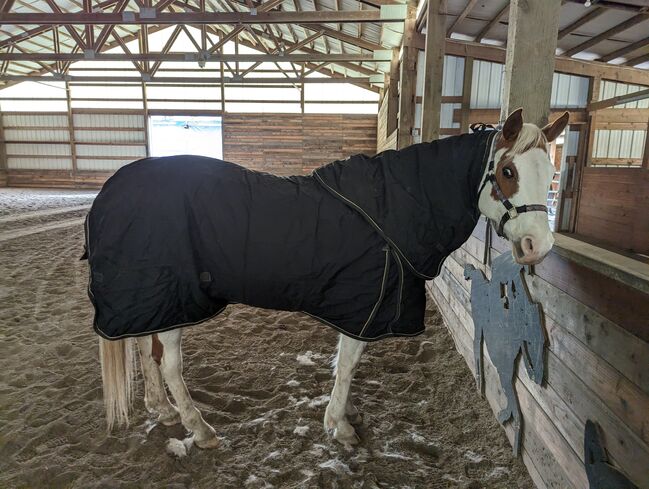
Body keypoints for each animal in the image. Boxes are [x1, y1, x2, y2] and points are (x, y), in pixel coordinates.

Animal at [87, 107, 568, 450]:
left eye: (550, 175)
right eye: (507, 172)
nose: (537, 247)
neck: (393, 208)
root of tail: (110, 193)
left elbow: (346, 364)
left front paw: (347, 415)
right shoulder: (363, 306)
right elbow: (349, 364)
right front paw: (339, 426)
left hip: (151, 300)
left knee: (143, 348)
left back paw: (163, 412)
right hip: (174, 299)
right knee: (168, 364)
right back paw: (200, 430)